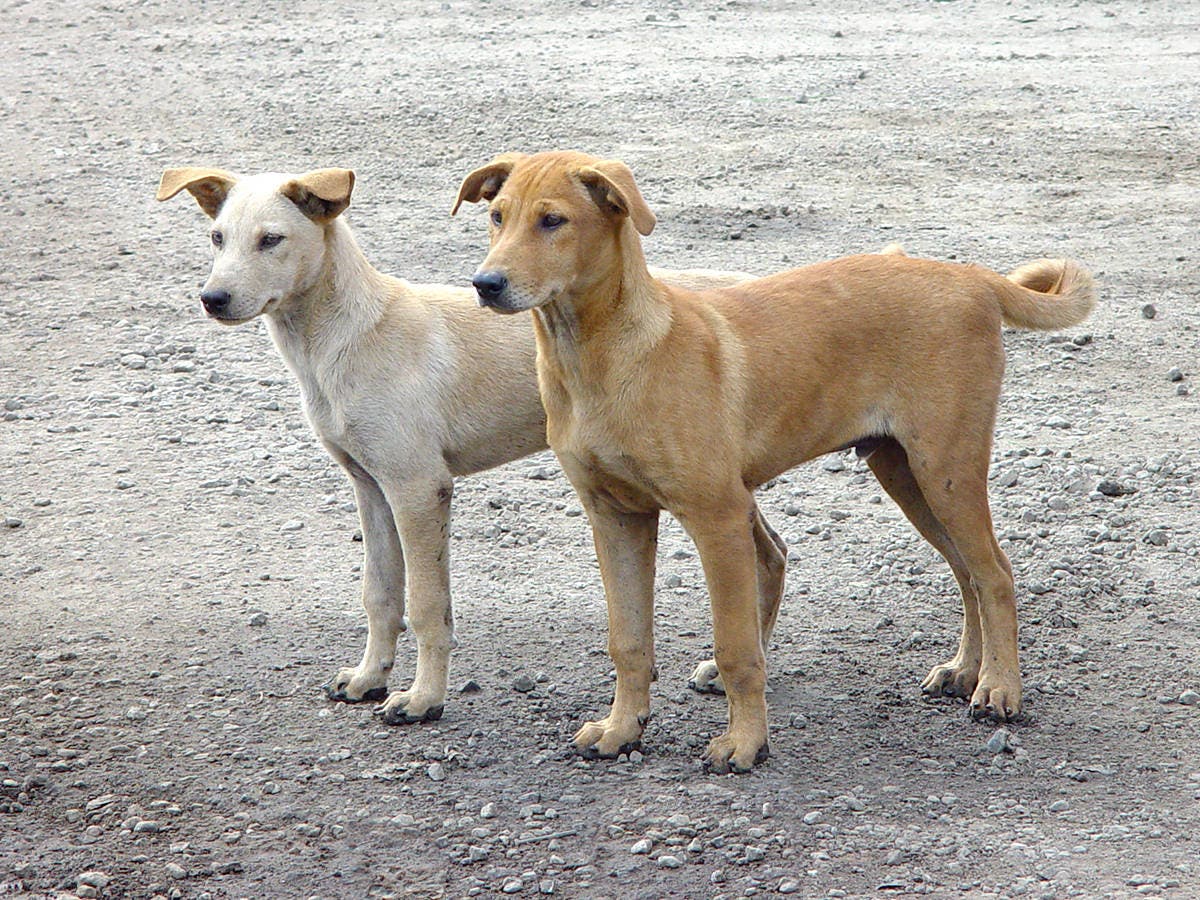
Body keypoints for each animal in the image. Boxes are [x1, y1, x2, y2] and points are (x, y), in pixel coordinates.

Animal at [156, 168, 753, 724]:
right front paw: (370, 677)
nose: (212, 299)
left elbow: (426, 606)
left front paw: (423, 699)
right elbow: (380, 593)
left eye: (271, 239)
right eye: (217, 238)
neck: (349, 336)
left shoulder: (418, 488)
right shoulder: (371, 487)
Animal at [453, 150, 1094, 777]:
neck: (601, 356)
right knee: (966, 573)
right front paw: (621, 730)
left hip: (947, 468)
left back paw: (999, 689)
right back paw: (964, 670)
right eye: (498, 217)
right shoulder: (614, 516)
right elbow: (628, 641)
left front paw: (744, 743)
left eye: (552, 221)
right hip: (905, 472)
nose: (486, 284)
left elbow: (737, 647)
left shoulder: (716, 517)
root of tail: (971, 277)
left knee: (995, 573)